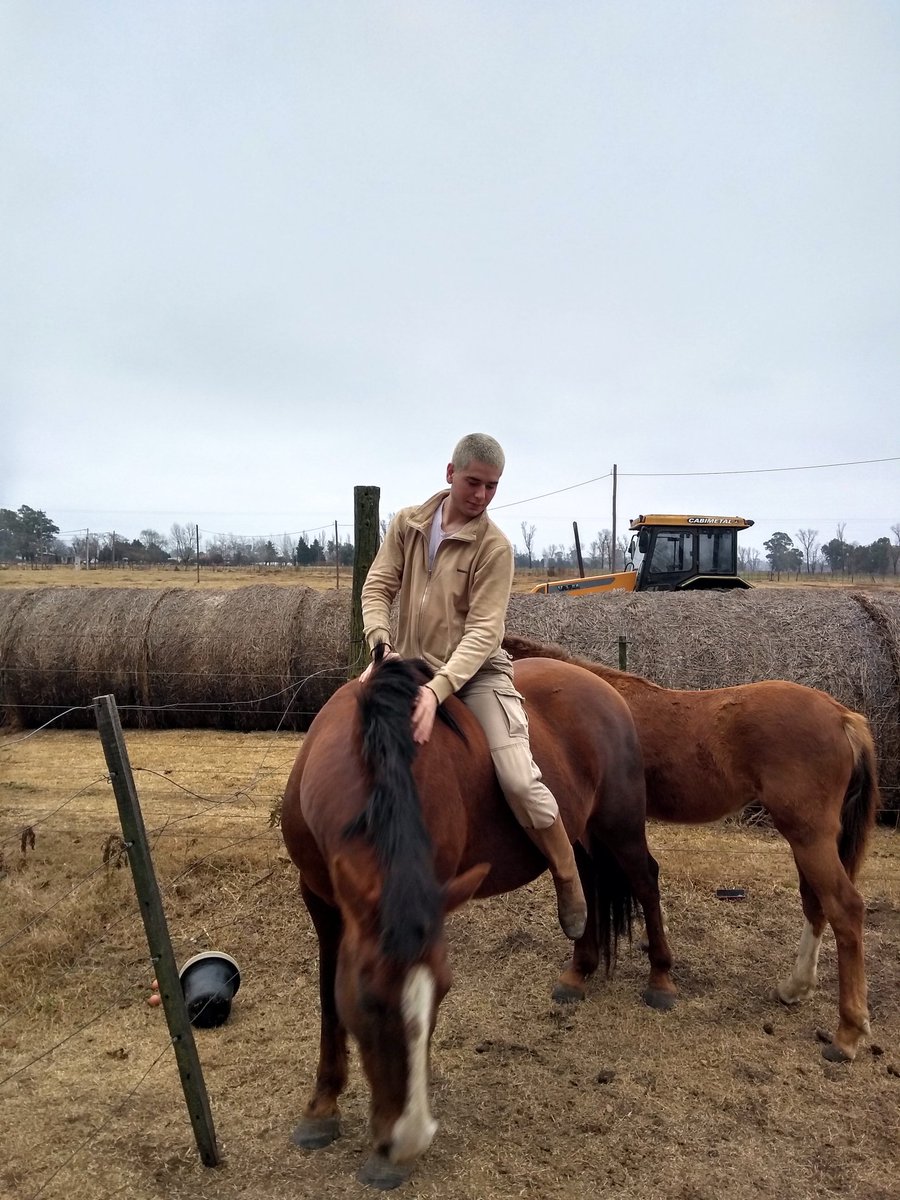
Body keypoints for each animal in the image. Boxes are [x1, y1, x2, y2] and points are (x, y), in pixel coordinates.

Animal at [280, 652, 675, 1188]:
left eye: (443, 993)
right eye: (368, 1001)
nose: (407, 1141)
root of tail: (604, 687)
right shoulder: (321, 899)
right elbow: (327, 995)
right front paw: (321, 1108)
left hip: (621, 824)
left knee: (646, 881)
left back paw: (661, 978)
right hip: (586, 830)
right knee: (586, 878)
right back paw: (578, 970)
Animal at [503, 633, 879, 1063]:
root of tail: (843, 716)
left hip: (809, 836)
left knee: (844, 909)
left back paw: (846, 1034)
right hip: (808, 839)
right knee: (815, 902)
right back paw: (794, 989)